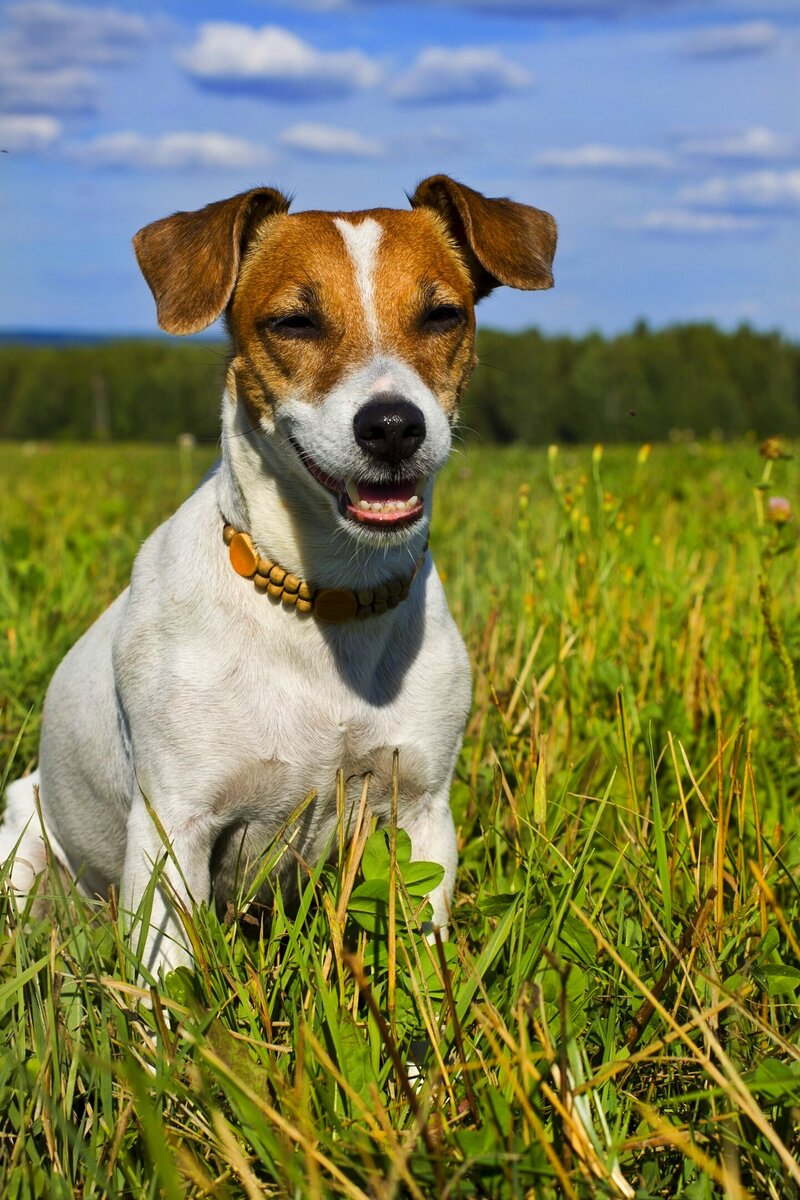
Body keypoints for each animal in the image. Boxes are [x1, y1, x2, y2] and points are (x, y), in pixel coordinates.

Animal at [0, 175, 556, 974]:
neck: (327, 597)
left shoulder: (420, 809)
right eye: (294, 322)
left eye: (443, 314)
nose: (393, 426)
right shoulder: (175, 829)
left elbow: (419, 961)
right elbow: (171, 984)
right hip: (23, 841)